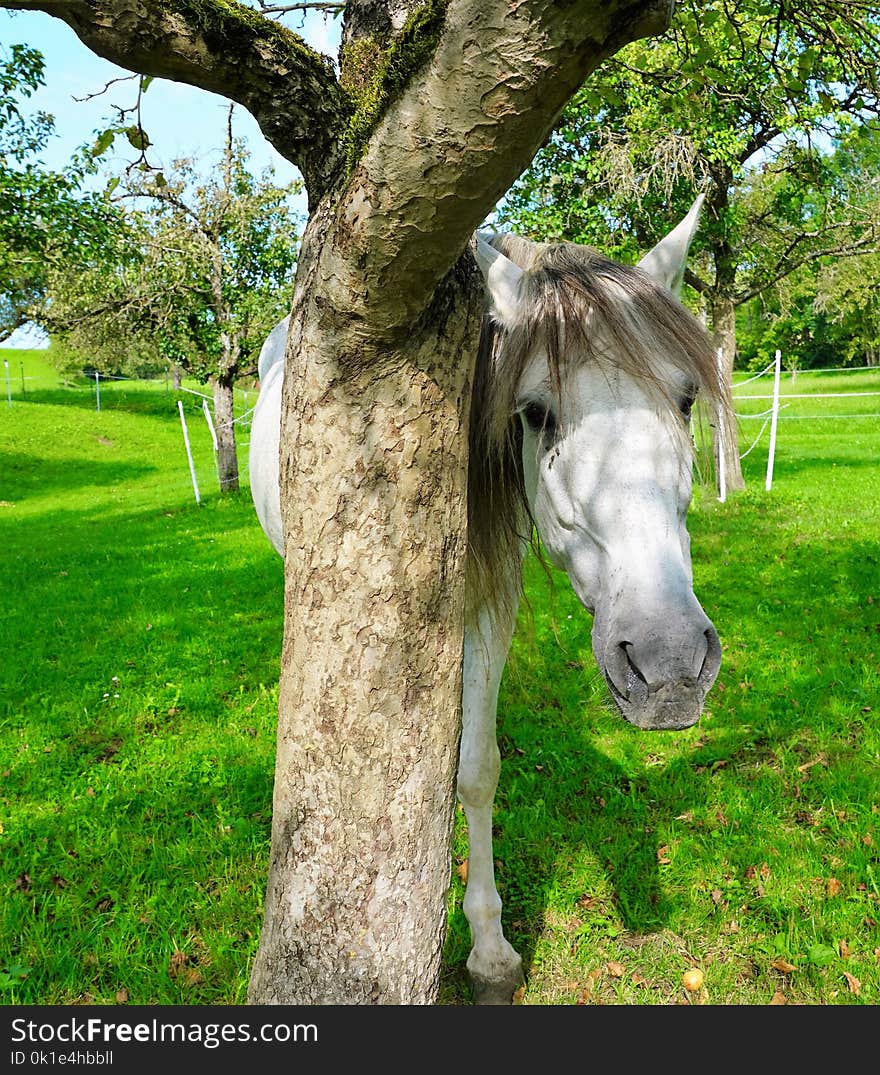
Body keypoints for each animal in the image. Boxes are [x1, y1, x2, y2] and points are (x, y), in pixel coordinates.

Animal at [249, 195, 730, 1006]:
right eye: (534, 412)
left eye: (686, 398)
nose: (668, 666)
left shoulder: (491, 605)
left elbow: (475, 768)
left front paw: (490, 951)